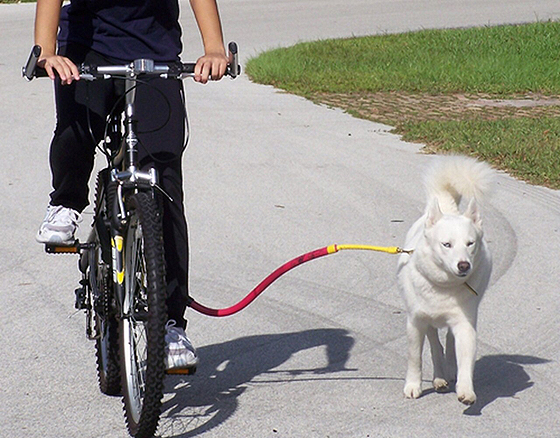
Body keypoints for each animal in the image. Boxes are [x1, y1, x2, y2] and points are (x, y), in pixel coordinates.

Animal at [398, 156, 494, 406]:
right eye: (447, 244)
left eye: (470, 243)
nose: (464, 265)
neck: (444, 287)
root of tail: (449, 209)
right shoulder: (416, 322)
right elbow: (415, 358)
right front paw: (413, 385)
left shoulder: (465, 325)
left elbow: (465, 359)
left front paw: (466, 390)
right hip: (427, 320)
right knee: (434, 342)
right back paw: (439, 375)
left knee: (449, 342)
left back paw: (448, 371)